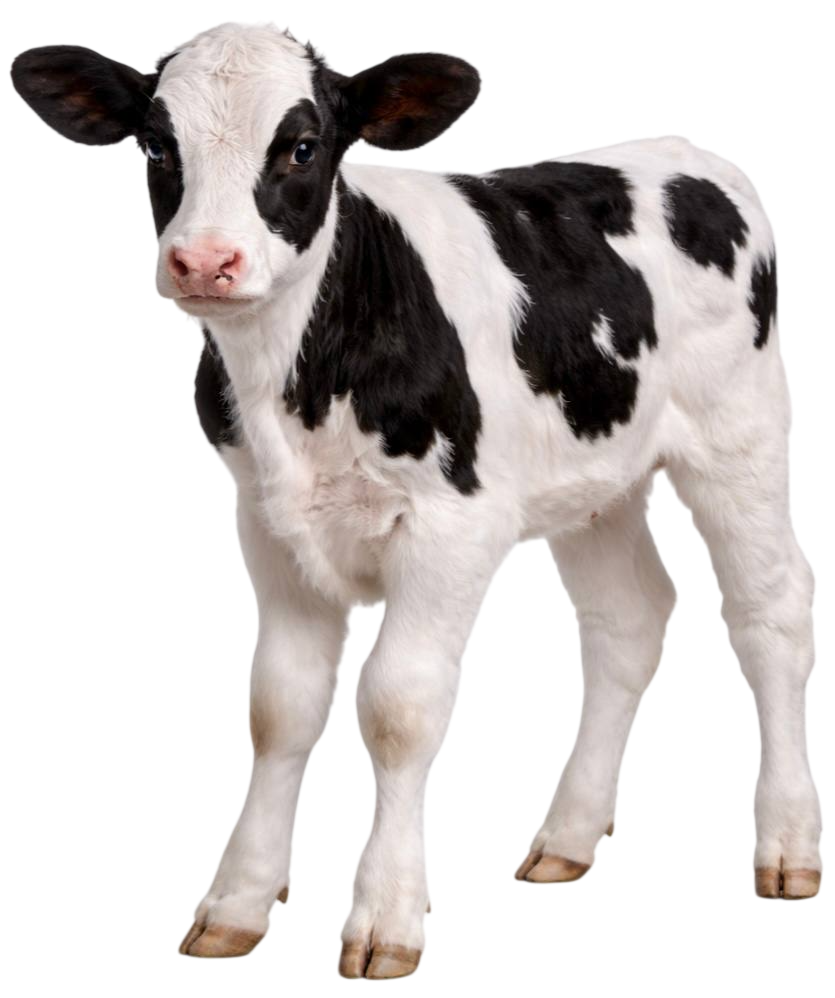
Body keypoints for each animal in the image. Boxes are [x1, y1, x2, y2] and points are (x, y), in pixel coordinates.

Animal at [10, 18, 822, 981]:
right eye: (154, 144)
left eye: (302, 145)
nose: (204, 261)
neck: (303, 377)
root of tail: (680, 149)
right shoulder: (264, 526)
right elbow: (279, 706)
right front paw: (238, 902)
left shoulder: (454, 526)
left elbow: (397, 706)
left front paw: (384, 917)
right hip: (594, 478)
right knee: (627, 620)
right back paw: (566, 838)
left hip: (741, 436)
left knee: (771, 613)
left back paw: (786, 845)